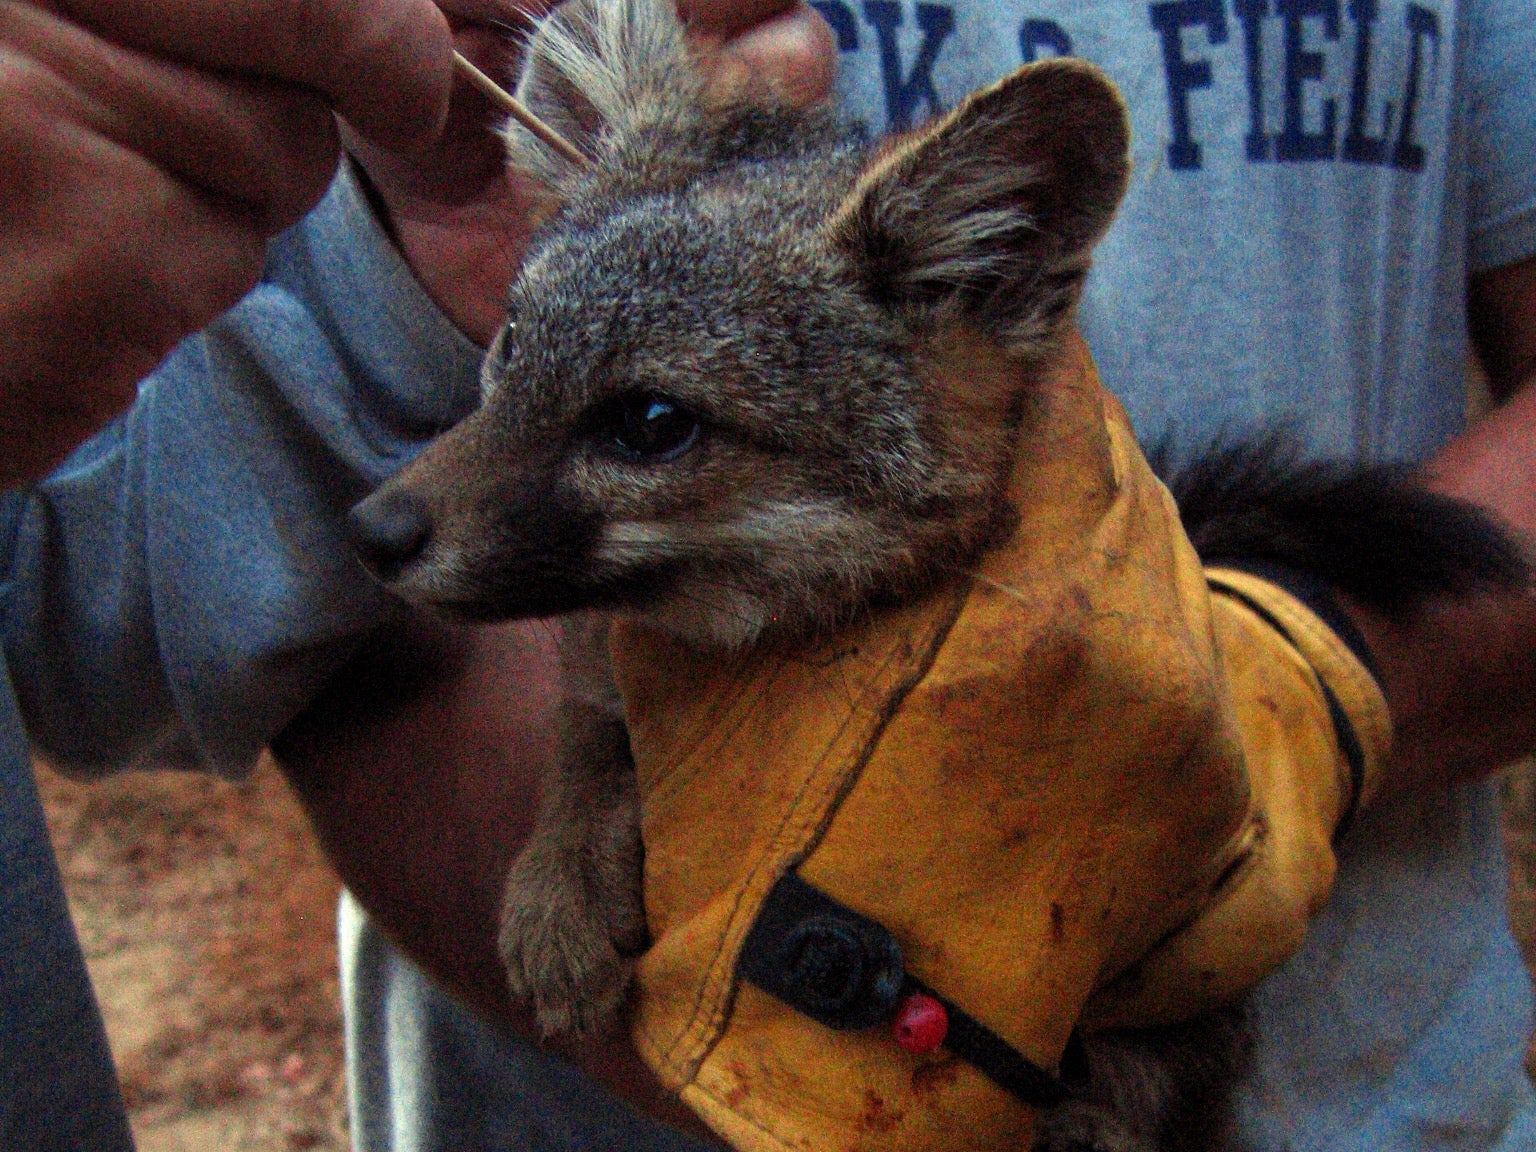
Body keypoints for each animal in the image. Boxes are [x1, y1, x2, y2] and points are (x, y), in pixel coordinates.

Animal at [345, 0, 1527, 1147]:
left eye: (649, 423)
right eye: (509, 351)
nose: (372, 529)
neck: (740, 655)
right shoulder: (607, 668)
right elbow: (589, 739)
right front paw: (561, 881)